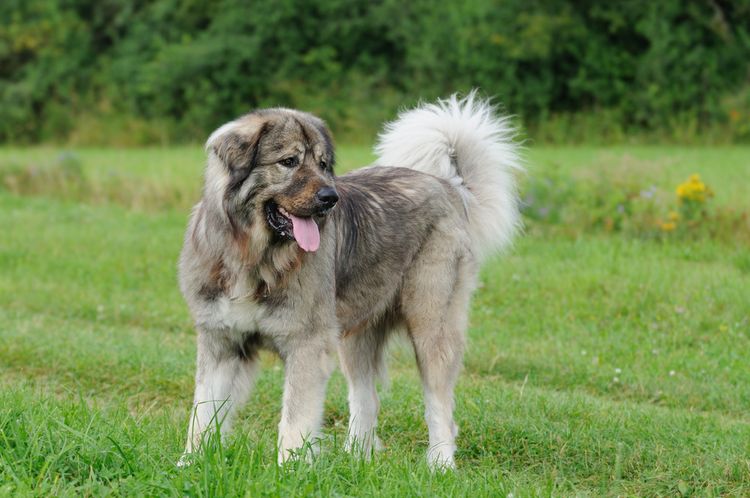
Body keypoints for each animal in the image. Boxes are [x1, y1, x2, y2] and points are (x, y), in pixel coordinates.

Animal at [179, 91, 524, 468]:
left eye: (322, 164)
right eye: (289, 161)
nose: (330, 198)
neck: (255, 258)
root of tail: (449, 186)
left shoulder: (306, 344)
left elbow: (294, 419)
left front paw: (289, 470)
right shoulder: (221, 343)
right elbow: (202, 414)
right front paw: (190, 464)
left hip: (431, 325)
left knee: (440, 406)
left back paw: (440, 464)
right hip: (356, 334)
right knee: (366, 399)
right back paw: (356, 460)